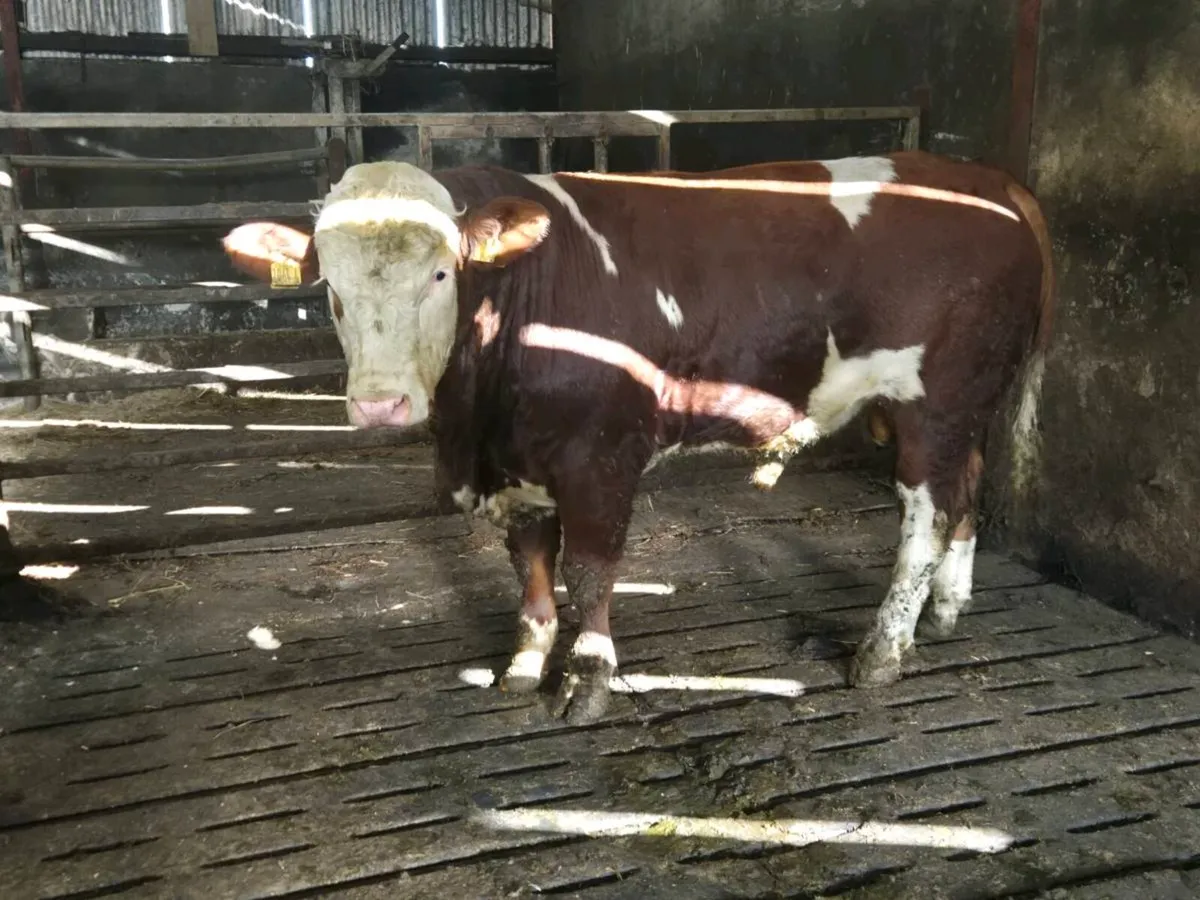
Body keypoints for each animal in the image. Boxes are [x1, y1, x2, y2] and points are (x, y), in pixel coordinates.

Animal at [223, 150, 1055, 725]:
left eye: (440, 274)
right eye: (329, 286)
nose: (381, 403)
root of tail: (991, 181)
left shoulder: (598, 455)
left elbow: (589, 573)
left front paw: (587, 681)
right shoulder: (517, 468)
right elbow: (531, 570)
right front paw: (525, 665)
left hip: (935, 403)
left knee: (927, 515)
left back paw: (883, 651)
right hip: (964, 406)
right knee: (967, 491)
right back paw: (946, 609)